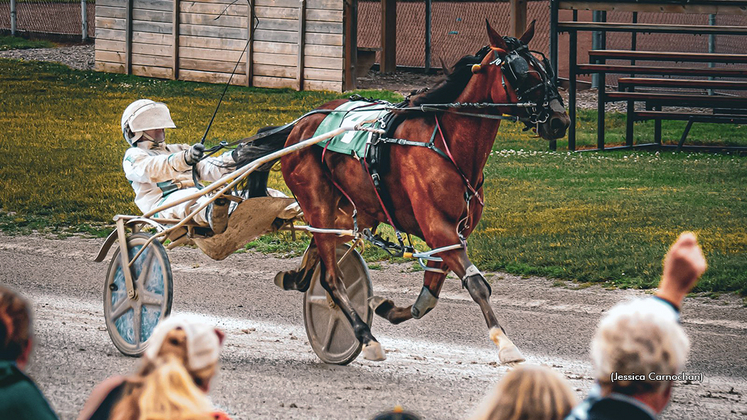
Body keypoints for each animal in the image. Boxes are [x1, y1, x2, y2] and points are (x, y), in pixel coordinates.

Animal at [245, 20, 568, 364]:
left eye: (547, 70)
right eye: (522, 73)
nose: (559, 120)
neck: (448, 145)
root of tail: (298, 128)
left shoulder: (451, 236)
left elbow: (427, 299)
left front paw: (384, 306)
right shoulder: (440, 229)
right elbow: (477, 284)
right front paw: (505, 344)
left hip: (353, 210)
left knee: (316, 257)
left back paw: (298, 278)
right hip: (317, 203)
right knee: (330, 278)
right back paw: (366, 336)